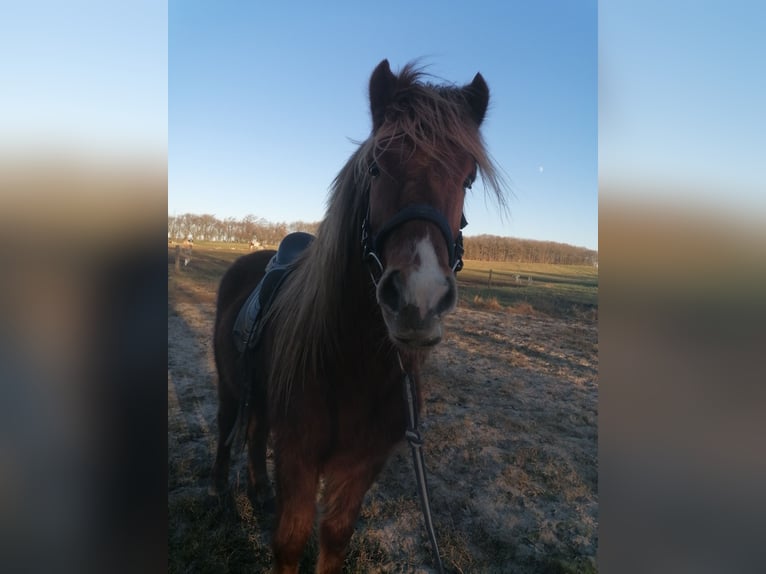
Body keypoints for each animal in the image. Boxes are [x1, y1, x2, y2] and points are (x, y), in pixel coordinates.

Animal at [210, 59, 505, 573]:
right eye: (376, 165)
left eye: (468, 177)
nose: (418, 299)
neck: (354, 366)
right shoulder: (299, 457)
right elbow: (290, 542)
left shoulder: (361, 465)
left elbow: (335, 538)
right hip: (230, 387)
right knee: (228, 434)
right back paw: (222, 498)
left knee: (254, 430)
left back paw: (258, 491)